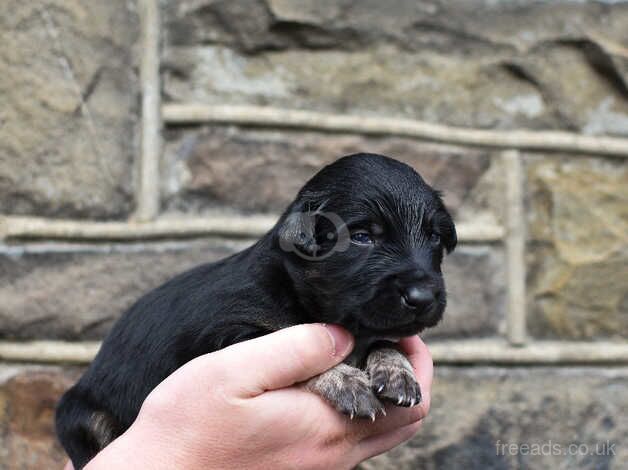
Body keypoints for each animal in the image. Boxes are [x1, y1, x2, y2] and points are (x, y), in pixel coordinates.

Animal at [55, 153, 456, 466]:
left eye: (436, 237)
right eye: (361, 237)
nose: (423, 297)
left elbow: (385, 340)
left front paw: (396, 369)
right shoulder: (227, 337)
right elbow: (286, 339)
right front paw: (345, 380)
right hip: (83, 415)